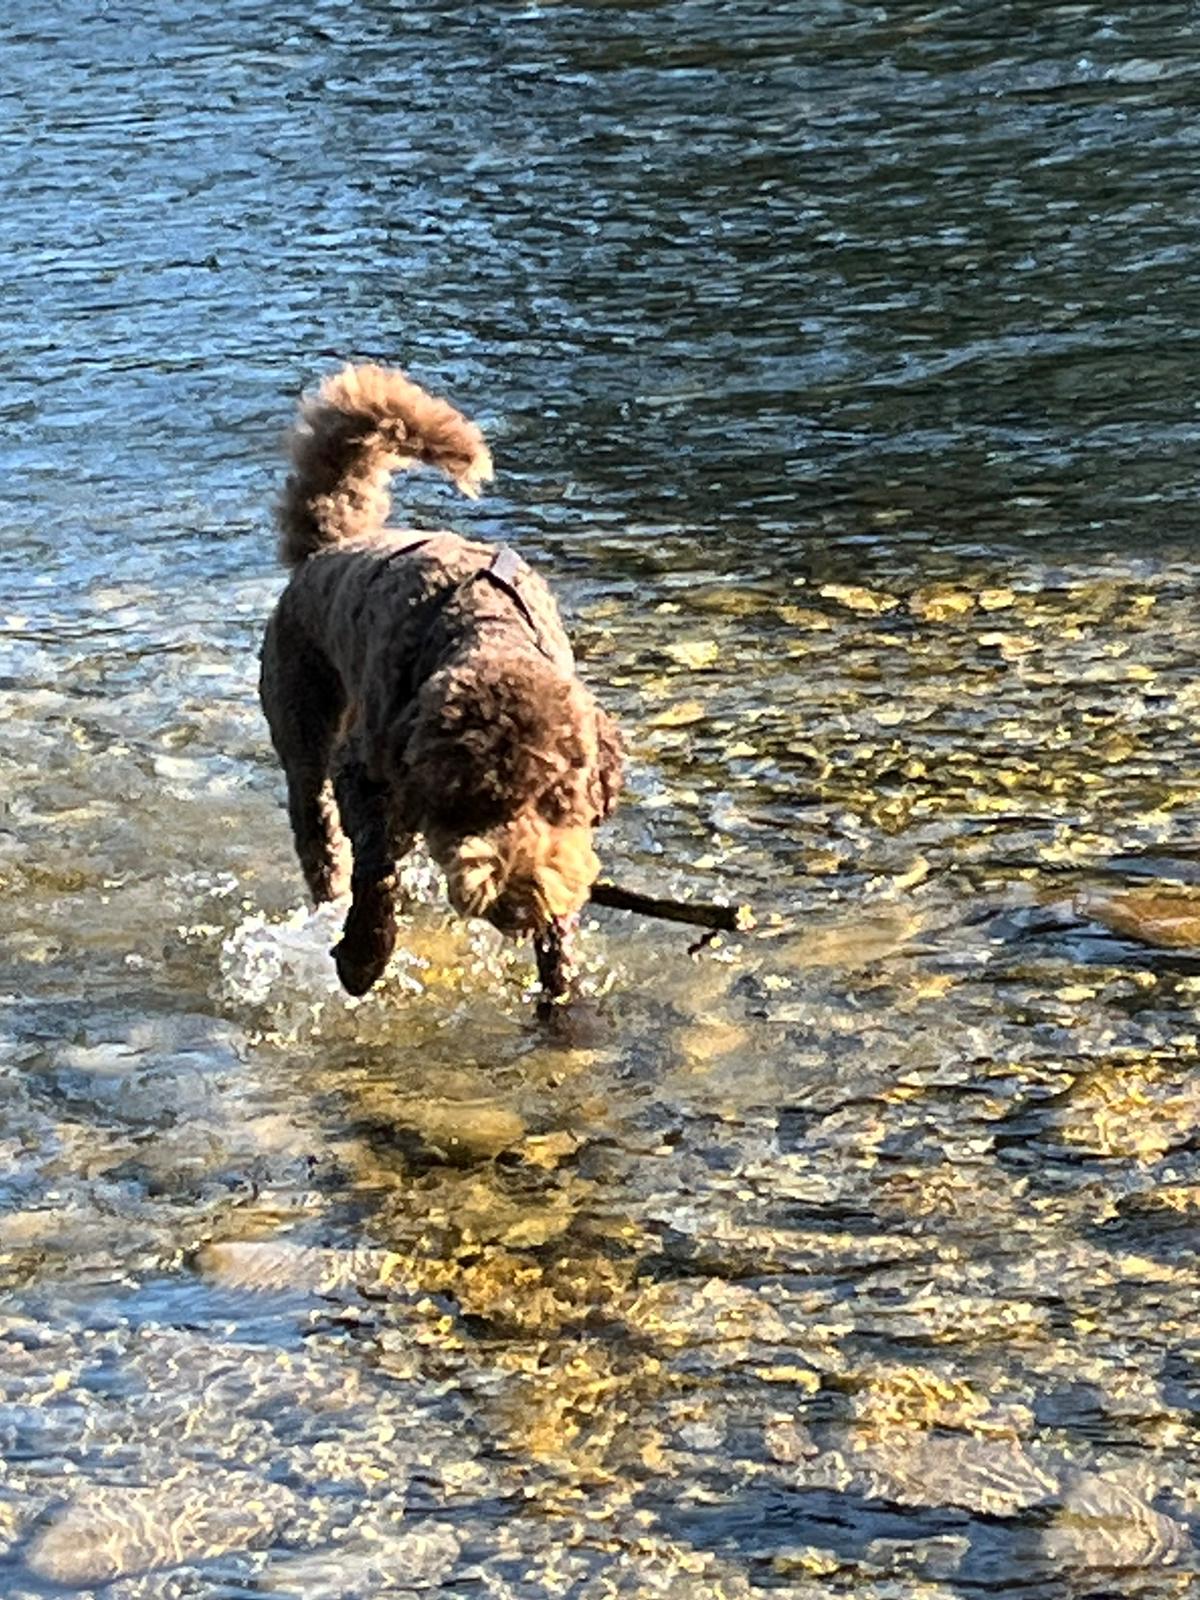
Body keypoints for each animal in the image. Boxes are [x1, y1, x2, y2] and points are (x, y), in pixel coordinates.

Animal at [258, 363, 623, 998]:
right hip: (301, 726)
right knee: (319, 835)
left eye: (559, 800)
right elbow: (376, 873)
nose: (519, 898)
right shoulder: (364, 774)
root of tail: (329, 547)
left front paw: (561, 985)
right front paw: (362, 958)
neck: (486, 627)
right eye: (470, 803)